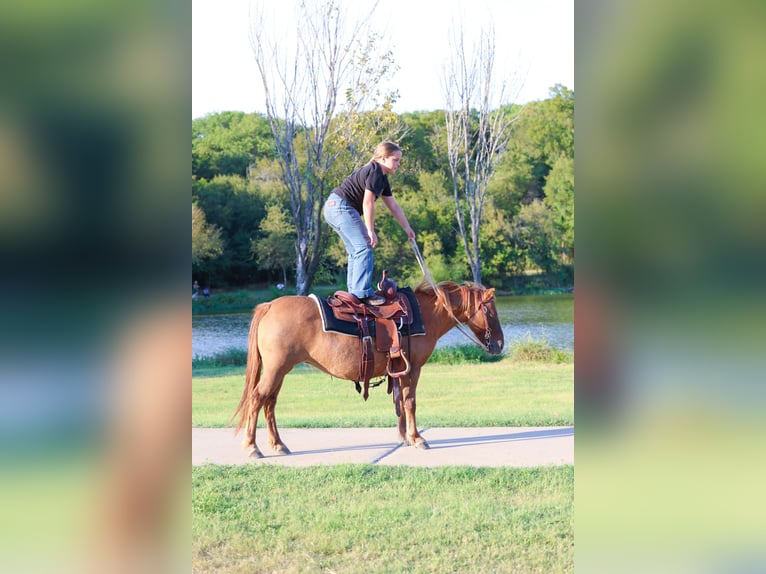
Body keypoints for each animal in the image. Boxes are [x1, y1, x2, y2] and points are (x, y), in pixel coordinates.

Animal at [232, 281, 504, 458]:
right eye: (490, 310)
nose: (499, 343)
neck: (424, 315)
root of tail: (269, 306)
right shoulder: (412, 369)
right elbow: (410, 402)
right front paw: (417, 439)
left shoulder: (399, 371)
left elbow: (399, 402)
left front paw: (404, 437)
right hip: (275, 370)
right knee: (257, 399)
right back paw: (252, 447)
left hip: (280, 370)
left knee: (270, 403)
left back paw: (278, 444)